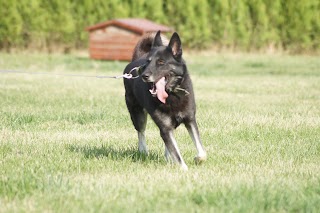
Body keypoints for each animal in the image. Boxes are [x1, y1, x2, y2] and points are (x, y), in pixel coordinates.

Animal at [124, 30, 206, 170]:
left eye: (161, 62)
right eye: (148, 62)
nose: (144, 75)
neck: (171, 94)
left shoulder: (190, 120)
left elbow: (201, 150)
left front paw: (198, 159)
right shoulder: (165, 128)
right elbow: (177, 155)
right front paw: (185, 170)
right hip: (137, 114)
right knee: (141, 132)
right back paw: (143, 150)